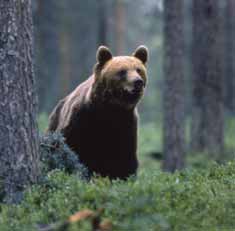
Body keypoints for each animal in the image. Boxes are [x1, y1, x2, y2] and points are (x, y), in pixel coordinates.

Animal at [46, 44, 148, 179]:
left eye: (138, 69)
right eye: (122, 71)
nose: (138, 82)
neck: (110, 110)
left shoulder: (126, 125)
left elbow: (125, 159)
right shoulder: (81, 119)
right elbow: (68, 146)